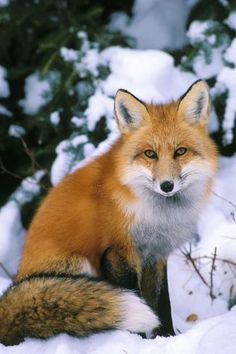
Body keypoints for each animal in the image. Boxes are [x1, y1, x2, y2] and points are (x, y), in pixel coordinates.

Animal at [0, 80, 218, 346]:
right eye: (150, 154)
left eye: (180, 151)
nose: (167, 185)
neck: (156, 215)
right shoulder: (118, 252)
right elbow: (137, 296)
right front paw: (136, 343)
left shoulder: (155, 256)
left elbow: (162, 303)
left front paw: (166, 338)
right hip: (78, 267)